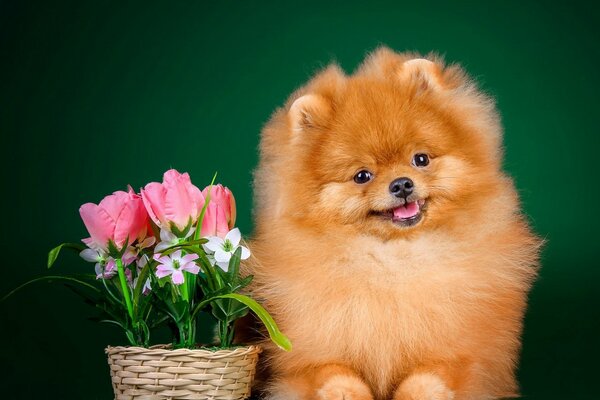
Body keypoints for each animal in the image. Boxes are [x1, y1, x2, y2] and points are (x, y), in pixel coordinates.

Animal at [246, 47, 540, 400]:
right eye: (362, 176)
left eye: (421, 159)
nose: (401, 184)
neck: (393, 263)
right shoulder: (303, 361)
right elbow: (335, 375)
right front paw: (347, 393)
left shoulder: (467, 355)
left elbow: (428, 377)